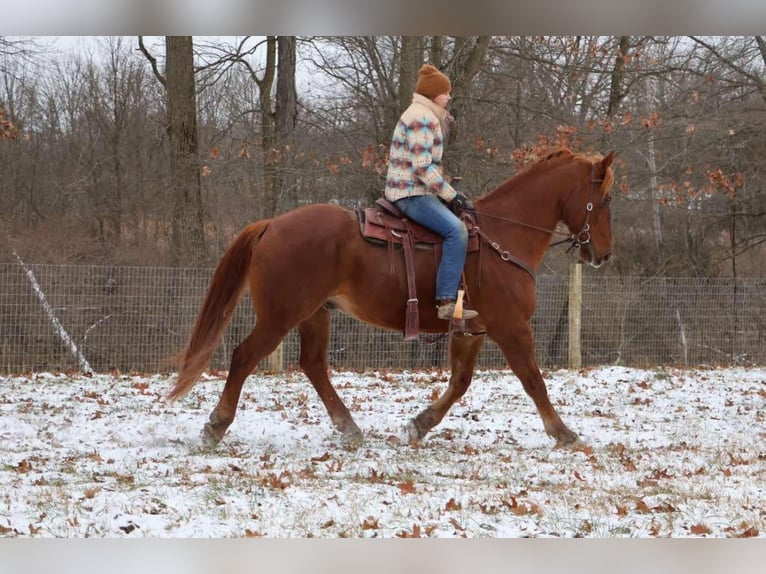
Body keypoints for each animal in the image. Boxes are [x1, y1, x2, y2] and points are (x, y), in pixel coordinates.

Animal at [167, 147, 616, 449]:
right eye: (606, 199)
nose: (604, 254)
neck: (501, 237)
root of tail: (273, 224)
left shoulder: (472, 330)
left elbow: (460, 382)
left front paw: (419, 424)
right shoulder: (511, 327)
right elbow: (533, 380)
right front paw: (563, 433)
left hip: (315, 313)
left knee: (313, 365)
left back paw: (349, 427)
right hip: (281, 316)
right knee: (245, 357)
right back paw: (216, 425)